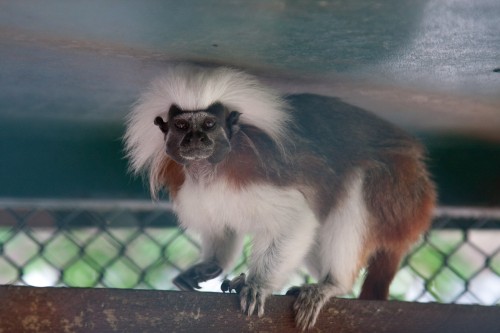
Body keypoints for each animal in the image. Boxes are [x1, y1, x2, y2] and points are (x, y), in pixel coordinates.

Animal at [123, 65, 436, 330]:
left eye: (209, 124)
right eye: (182, 126)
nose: (196, 140)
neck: (210, 172)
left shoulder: (255, 176)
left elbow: (295, 220)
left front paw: (256, 284)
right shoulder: (194, 193)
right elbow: (222, 229)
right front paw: (210, 265)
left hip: (401, 194)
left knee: (361, 182)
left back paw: (331, 284)